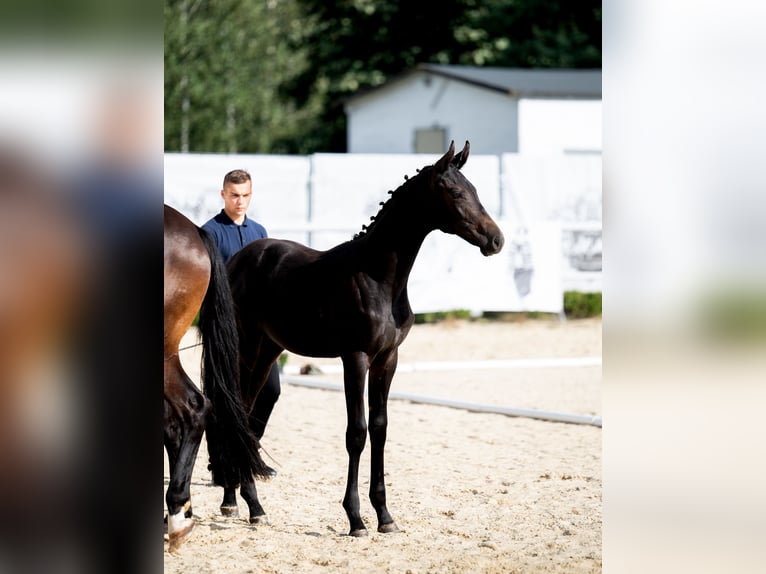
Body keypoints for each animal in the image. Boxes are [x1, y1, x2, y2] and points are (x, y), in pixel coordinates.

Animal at [225, 142, 508, 536]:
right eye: (455, 192)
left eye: (475, 190)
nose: (496, 240)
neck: (378, 278)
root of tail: (237, 260)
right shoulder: (355, 358)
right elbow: (356, 433)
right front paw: (356, 518)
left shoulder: (387, 359)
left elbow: (380, 428)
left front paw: (385, 516)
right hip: (247, 347)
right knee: (235, 410)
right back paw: (240, 502)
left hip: (268, 350)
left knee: (248, 415)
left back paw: (247, 503)